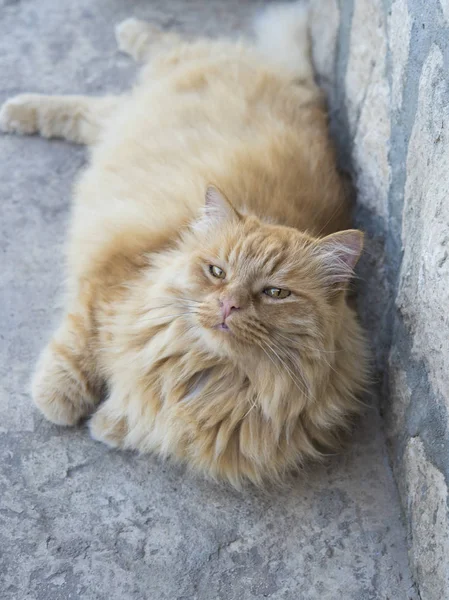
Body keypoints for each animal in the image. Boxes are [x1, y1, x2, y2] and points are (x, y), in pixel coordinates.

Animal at [0, 2, 368, 488]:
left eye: (275, 293)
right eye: (217, 272)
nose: (229, 304)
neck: (208, 377)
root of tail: (300, 80)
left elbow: (136, 419)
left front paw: (110, 424)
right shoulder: (111, 273)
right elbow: (80, 339)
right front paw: (58, 397)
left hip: (124, 116)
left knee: (94, 111)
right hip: (159, 84)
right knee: (162, 48)